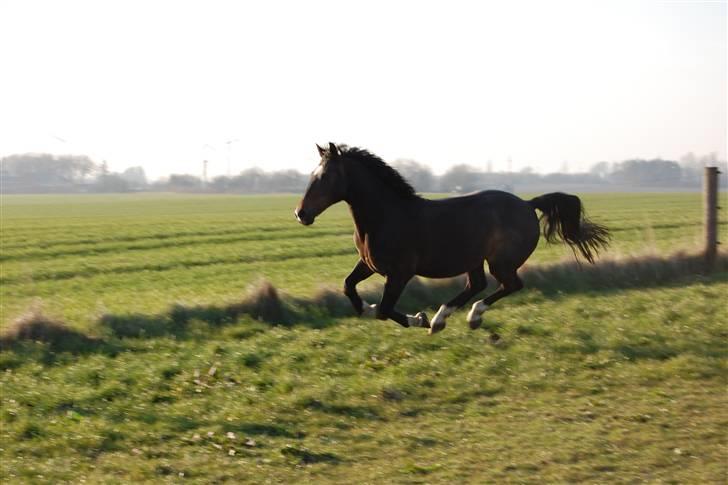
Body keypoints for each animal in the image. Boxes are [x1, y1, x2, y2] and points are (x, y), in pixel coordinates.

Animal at [292, 142, 604, 334]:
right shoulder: (369, 264)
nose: (301, 213)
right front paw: (369, 309)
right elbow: (350, 289)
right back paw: (442, 319)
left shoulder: (400, 273)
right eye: (312, 175)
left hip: (501, 261)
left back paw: (468, 317)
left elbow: (385, 309)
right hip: (474, 259)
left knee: (510, 285)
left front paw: (418, 319)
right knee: (477, 284)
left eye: (326, 177)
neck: (386, 216)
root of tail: (528, 204)